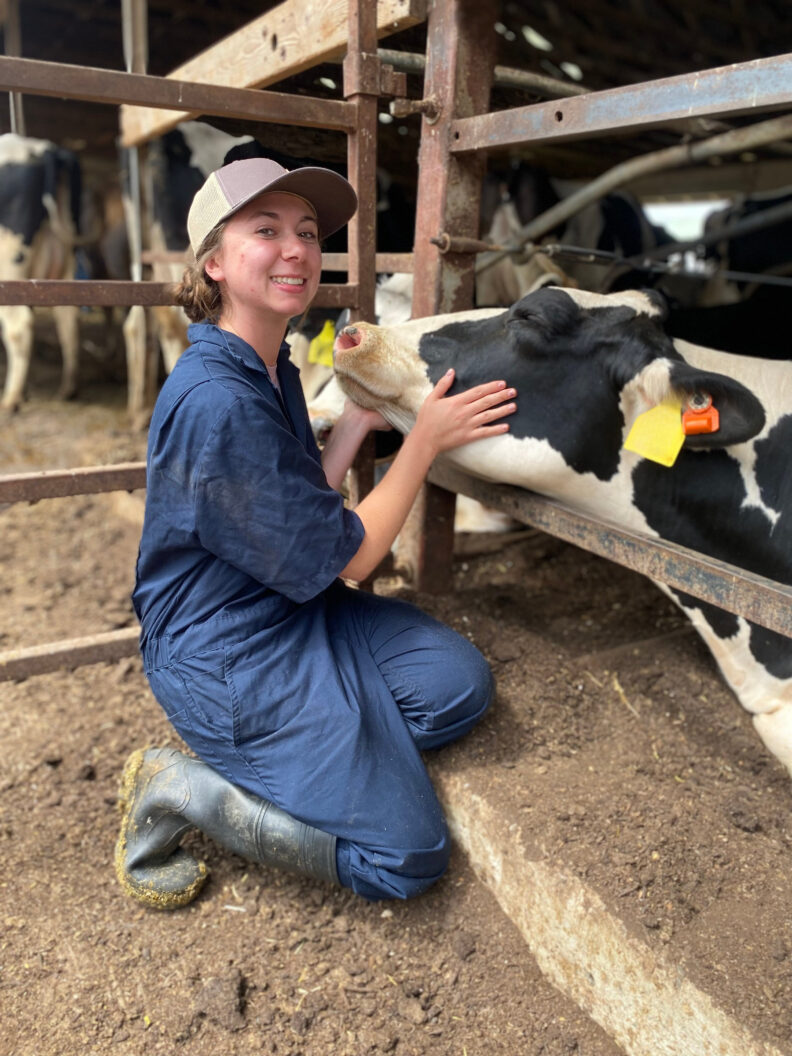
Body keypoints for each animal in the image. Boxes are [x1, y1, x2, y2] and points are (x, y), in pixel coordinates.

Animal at [0, 133, 82, 412]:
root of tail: (40, 147)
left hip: (10, 261)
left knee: (18, 326)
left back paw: (11, 399)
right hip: (64, 260)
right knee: (68, 319)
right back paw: (67, 388)